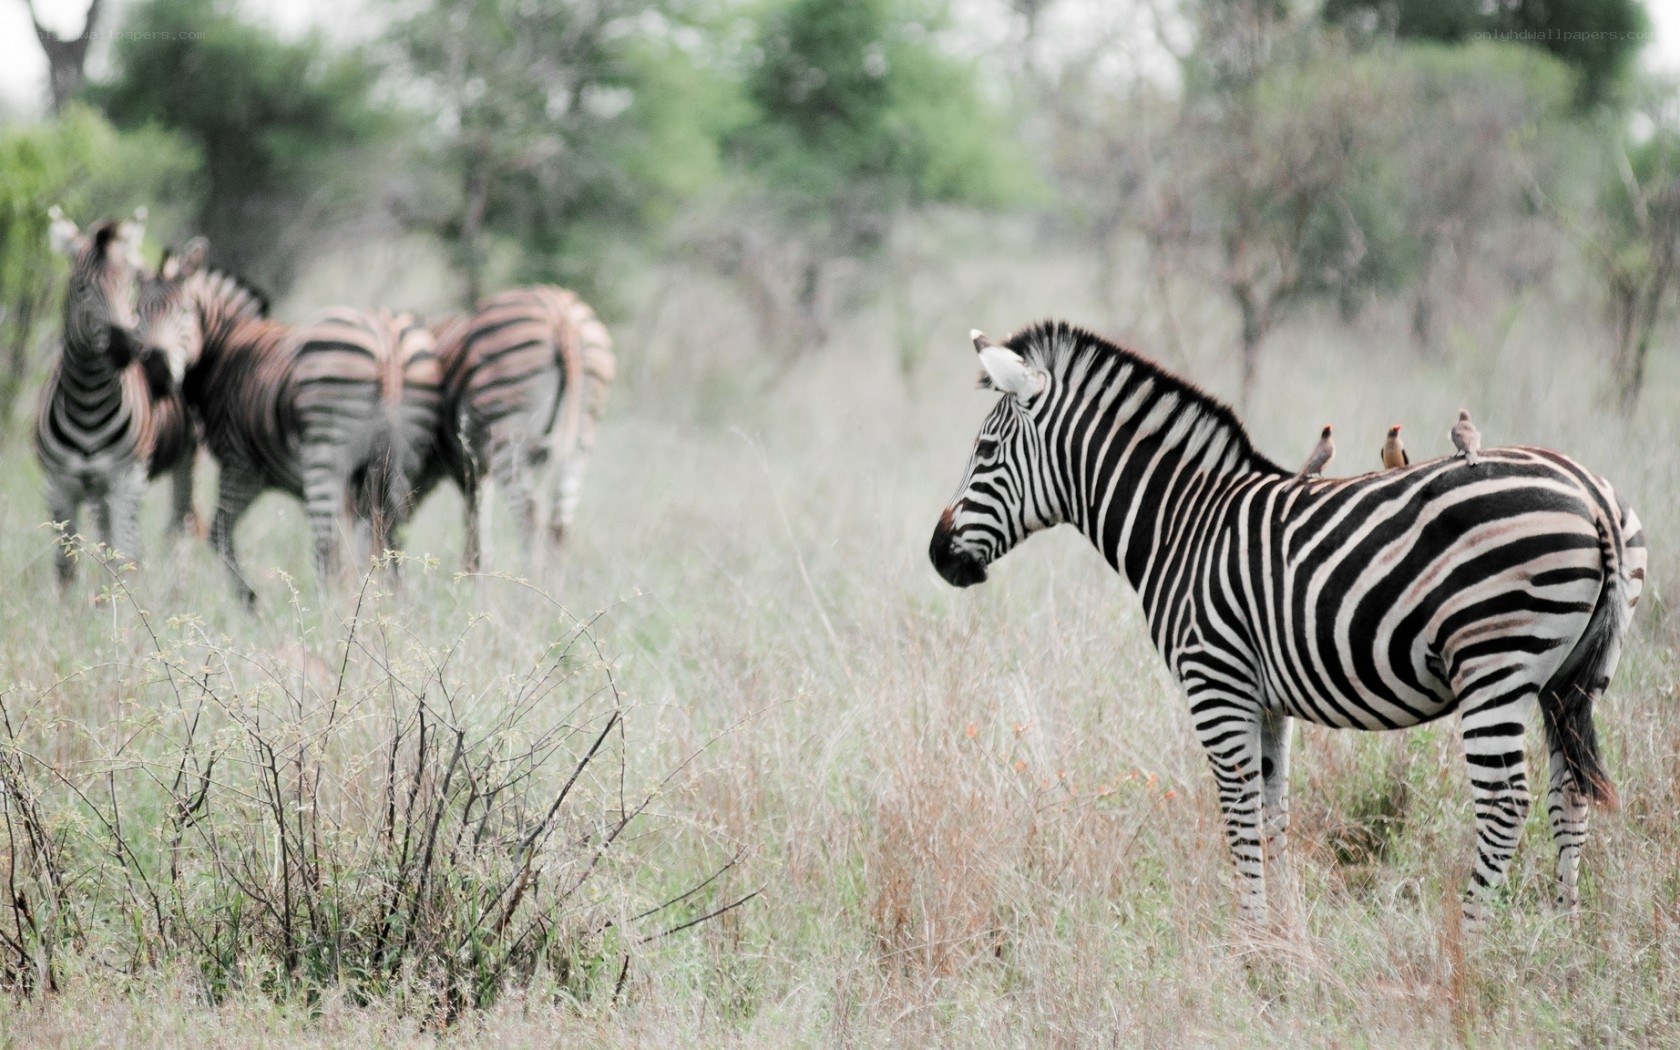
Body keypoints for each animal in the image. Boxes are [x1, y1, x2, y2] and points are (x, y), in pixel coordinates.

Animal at [35, 207, 198, 585]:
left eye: (128, 287)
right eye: (82, 287)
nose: (125, 349)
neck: (87, 401)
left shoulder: (126, 481)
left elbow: (126, 556)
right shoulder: (58, 485)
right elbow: (66, 566)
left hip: (184, 458)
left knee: (180, 527)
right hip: (98, 492)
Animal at [134, 239, 443, 603]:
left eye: (183, 311)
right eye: (137, 312)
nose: (155, 366)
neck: (226, 350)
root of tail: (387, 338)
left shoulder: (241, 467)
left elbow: (218, 532)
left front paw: (249, 600)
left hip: (324, 451)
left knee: (326, 542)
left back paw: (324, 608)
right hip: (403, 456)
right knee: (392, 532)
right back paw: (396, 604)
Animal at [425, 285, 615, 571]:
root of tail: (562, 316)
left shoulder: (468, 467)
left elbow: (474, 537)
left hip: (507, 436)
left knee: (530, 519)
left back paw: (528, 585)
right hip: (580, 440)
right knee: (558, 525)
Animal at [929, 321, 1645, 927]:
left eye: (985, 450)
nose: (938, 555)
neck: (1182, 524)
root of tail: (1592, 498)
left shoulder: (1215, 681)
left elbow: (1239, 812)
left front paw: (1249, 944)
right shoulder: (1266, 698)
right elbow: (1274, 811)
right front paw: (1282, 938)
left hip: (1495, 662)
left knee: (1504, 804)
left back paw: (1467, 944)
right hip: (1576, 676)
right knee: (1569, 795)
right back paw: (1564, 933)